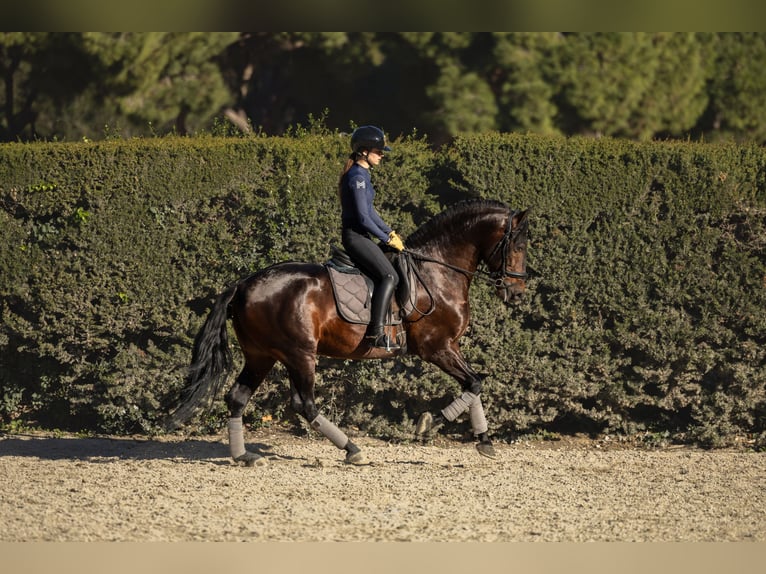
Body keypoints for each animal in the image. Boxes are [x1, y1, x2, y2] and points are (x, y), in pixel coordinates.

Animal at [166, 200, 532, 466]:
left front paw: (483, 442)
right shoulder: (437, 347)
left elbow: (475, 384)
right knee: (304, 404)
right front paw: (430, 425)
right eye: (516, 245)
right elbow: (474, 383)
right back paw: (352, 450)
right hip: (300, 354)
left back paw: (244, 456)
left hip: (262, 355)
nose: (517, 294)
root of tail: (244, 284)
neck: (437, 272)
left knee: (238, 397)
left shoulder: (448, 347)